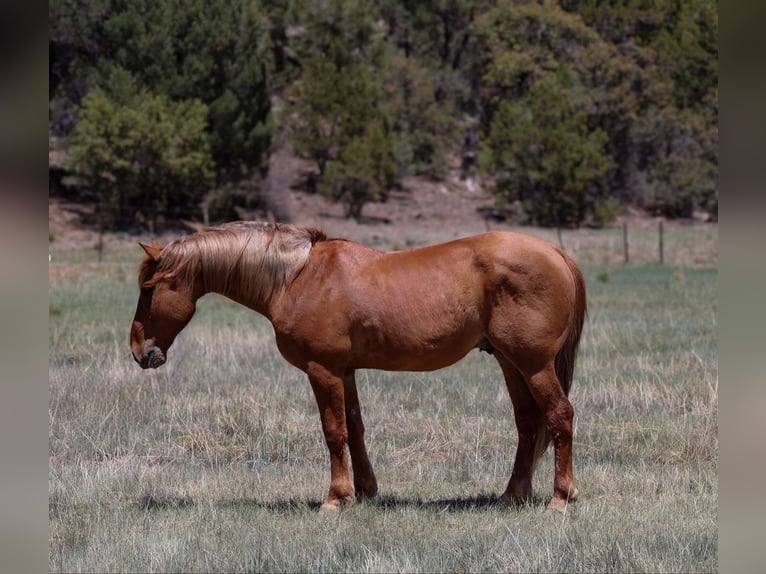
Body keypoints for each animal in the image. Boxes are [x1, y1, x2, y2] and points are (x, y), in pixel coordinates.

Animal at [130, 221, 587, 512]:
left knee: (559, 416)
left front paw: (335, 498)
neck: (297, 277)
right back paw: (512, 495)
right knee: (528, 423)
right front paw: (365, 491)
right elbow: (355, 427)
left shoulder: (323, 370)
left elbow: (334, 432)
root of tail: (555, 252)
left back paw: (560, 498)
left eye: (148, 288)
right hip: (511, 363)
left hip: (533, 364)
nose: (139, 351)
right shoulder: (345, 371)